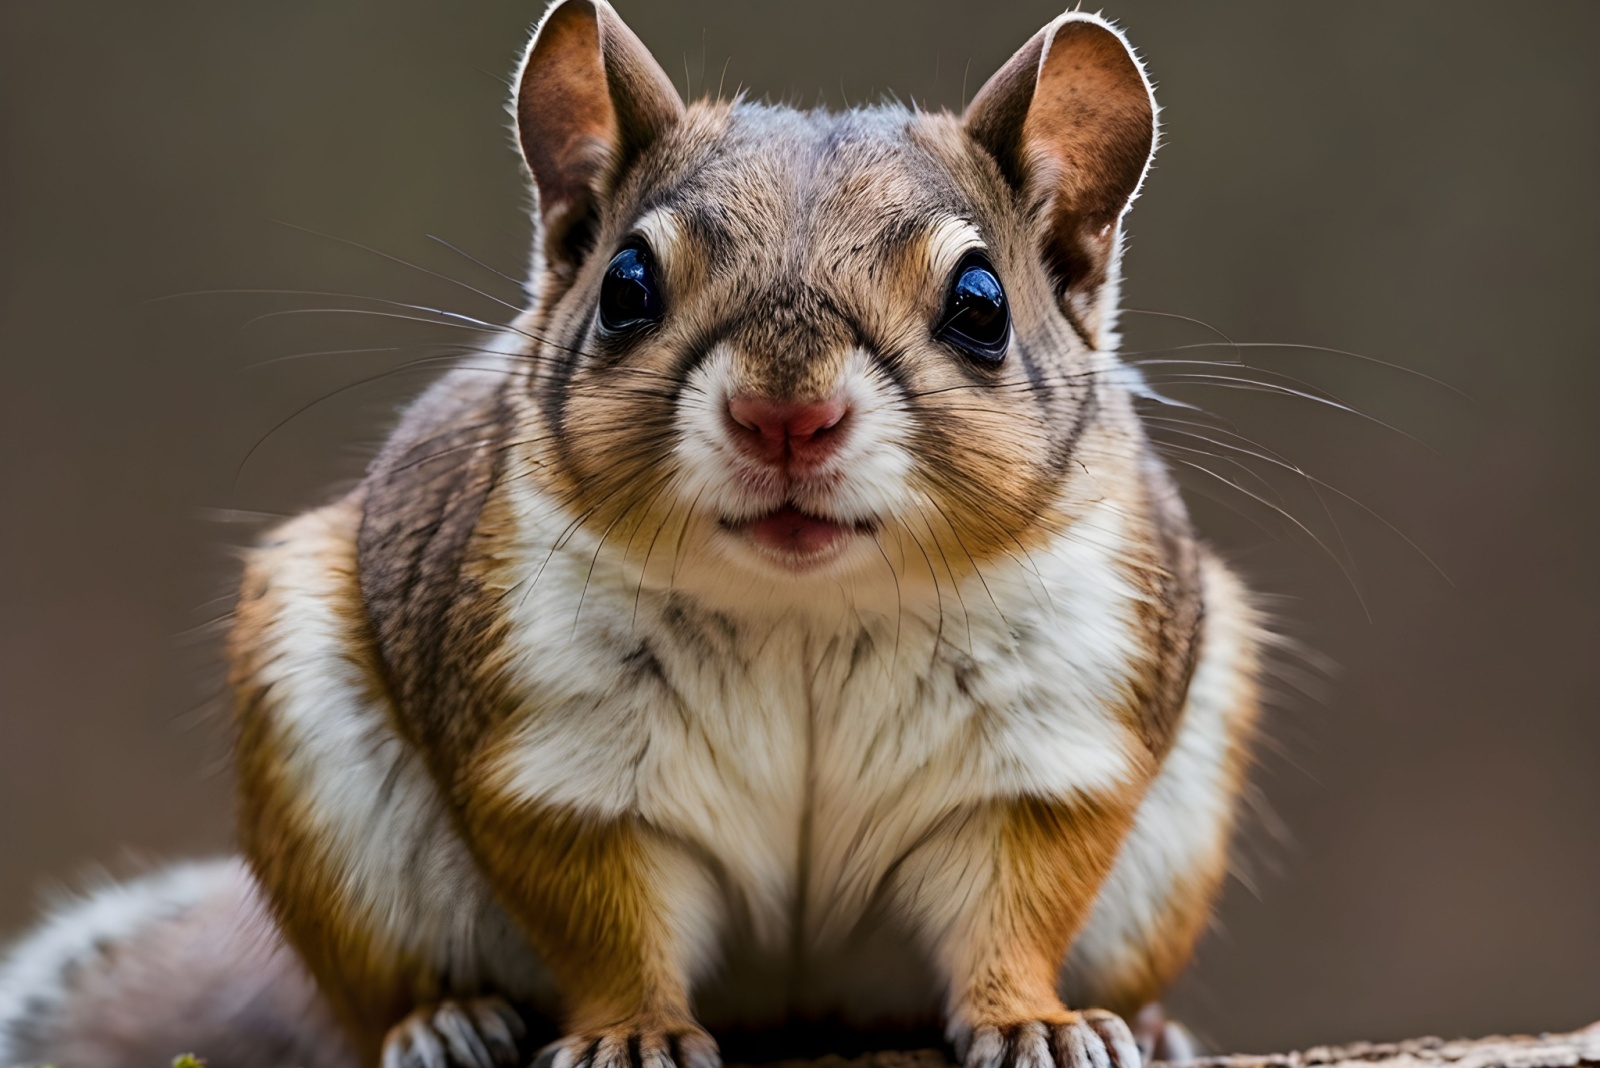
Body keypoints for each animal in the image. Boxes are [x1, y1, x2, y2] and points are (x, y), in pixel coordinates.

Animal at [0, 3, 1265, 1067]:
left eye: (981, 305)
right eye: (625, 286)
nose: (785, 418)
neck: (805, 607)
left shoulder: (1046, 749)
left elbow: (1014, 909)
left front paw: (1035, 1021)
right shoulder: (558, 759)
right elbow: (607, 923)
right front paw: (633, 1033)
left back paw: (1151, 1025)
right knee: (365, 1003)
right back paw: (441, 1023)